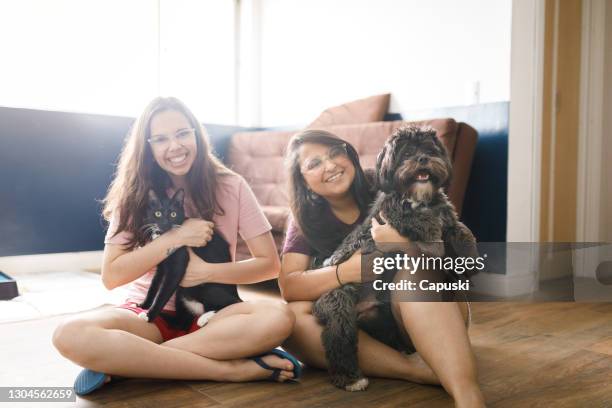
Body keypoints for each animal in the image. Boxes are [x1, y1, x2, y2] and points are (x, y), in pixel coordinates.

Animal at [138, 188, 241, 328]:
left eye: (173, 214)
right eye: (157, 213)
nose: (165, 223)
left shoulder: (179, 264)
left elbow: (162, 294)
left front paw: (149, 316)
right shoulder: (161, 266)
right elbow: (153, 286)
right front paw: (144, 305)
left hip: (207, 288)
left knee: (235, 303)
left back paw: (205, 317)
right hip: (181, 295)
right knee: (182, 323)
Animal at [310, 125, 478, 392]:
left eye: (430, 149)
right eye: (407, 153)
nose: (422, 159)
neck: (419, 197)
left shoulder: (448, 217)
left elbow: (462, 231)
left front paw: (469, 259)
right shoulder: (392, 212)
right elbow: (419, 219)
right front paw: (432, 242)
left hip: (380, 316)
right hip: (340, 305)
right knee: (336, 337)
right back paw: (350, 378)